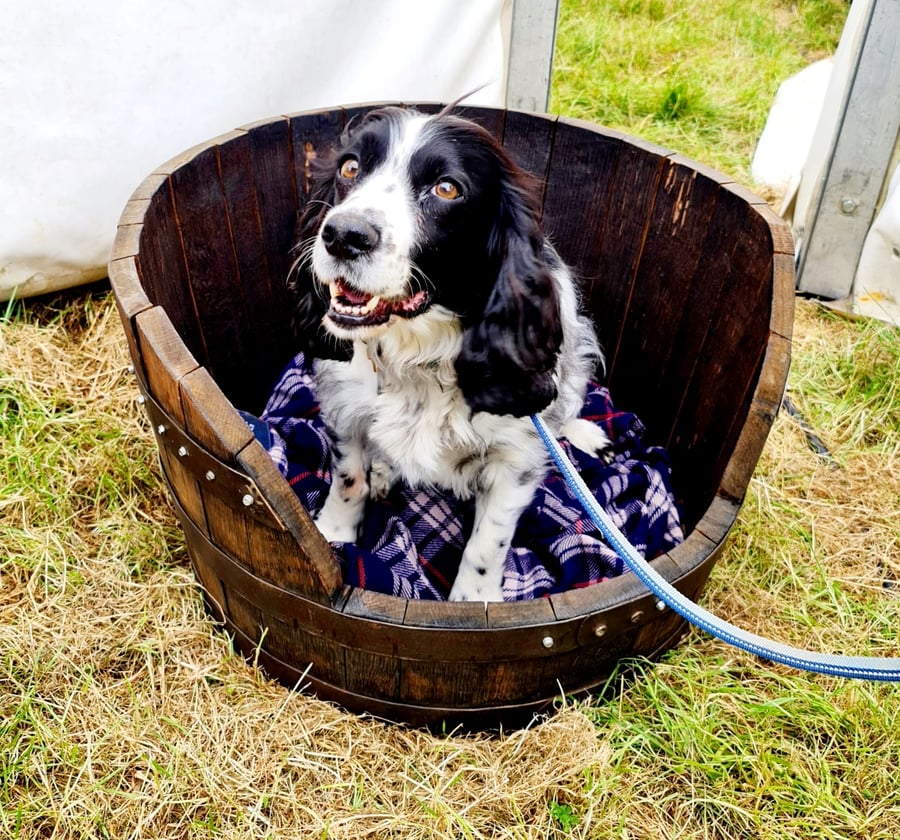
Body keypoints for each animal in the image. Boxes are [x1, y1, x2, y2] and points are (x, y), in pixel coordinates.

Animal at [288, 106, 612, 604]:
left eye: (446, 189)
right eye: (350, 167)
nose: (342, 235)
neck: (417, 354)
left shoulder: (514, 459)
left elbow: (487, 541)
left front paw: (474, 600)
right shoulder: (347, 410)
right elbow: (349, 479)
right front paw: (333, 534)